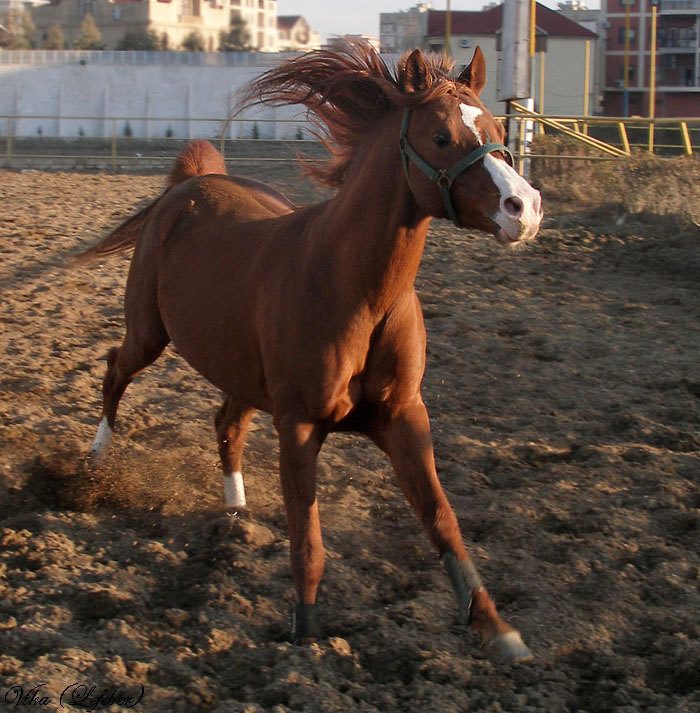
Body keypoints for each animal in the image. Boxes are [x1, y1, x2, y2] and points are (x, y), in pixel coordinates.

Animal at [79, 43, 544, 660]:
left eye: (496, 129)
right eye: (442, 136)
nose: (525, 207)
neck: (354, 289)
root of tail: (189, 186)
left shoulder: (404, 417)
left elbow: (442, 520)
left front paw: (497, 629)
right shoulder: (299, 426)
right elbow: (308, 540)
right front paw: (305, 635)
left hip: (243, 375)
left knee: (226, 423)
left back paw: (235, 511)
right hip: (149, 334)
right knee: (115, 370)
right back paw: (95, 461)